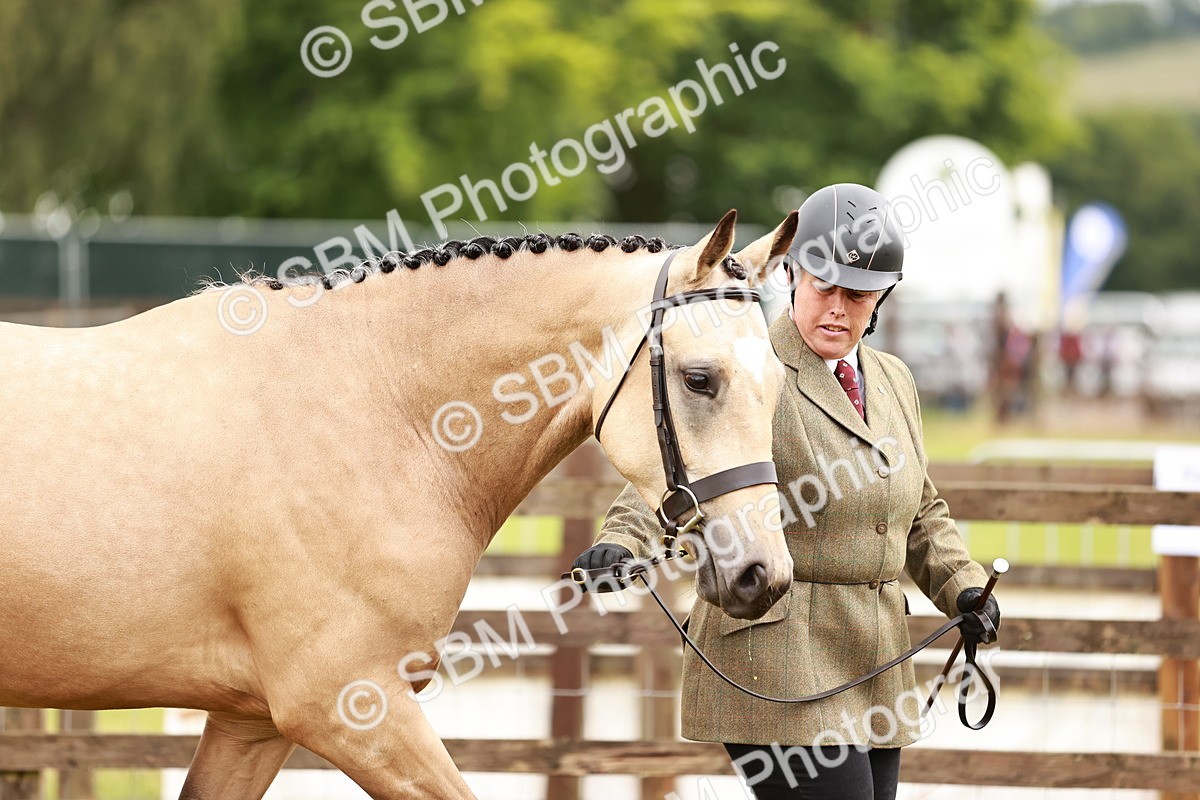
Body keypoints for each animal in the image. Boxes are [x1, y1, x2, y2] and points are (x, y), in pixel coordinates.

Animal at [0, 210, 798, 798]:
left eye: (779, 383)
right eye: (700, 379)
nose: (763, 574)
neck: (375, 410)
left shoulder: (250, 723)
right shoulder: (352, 708)